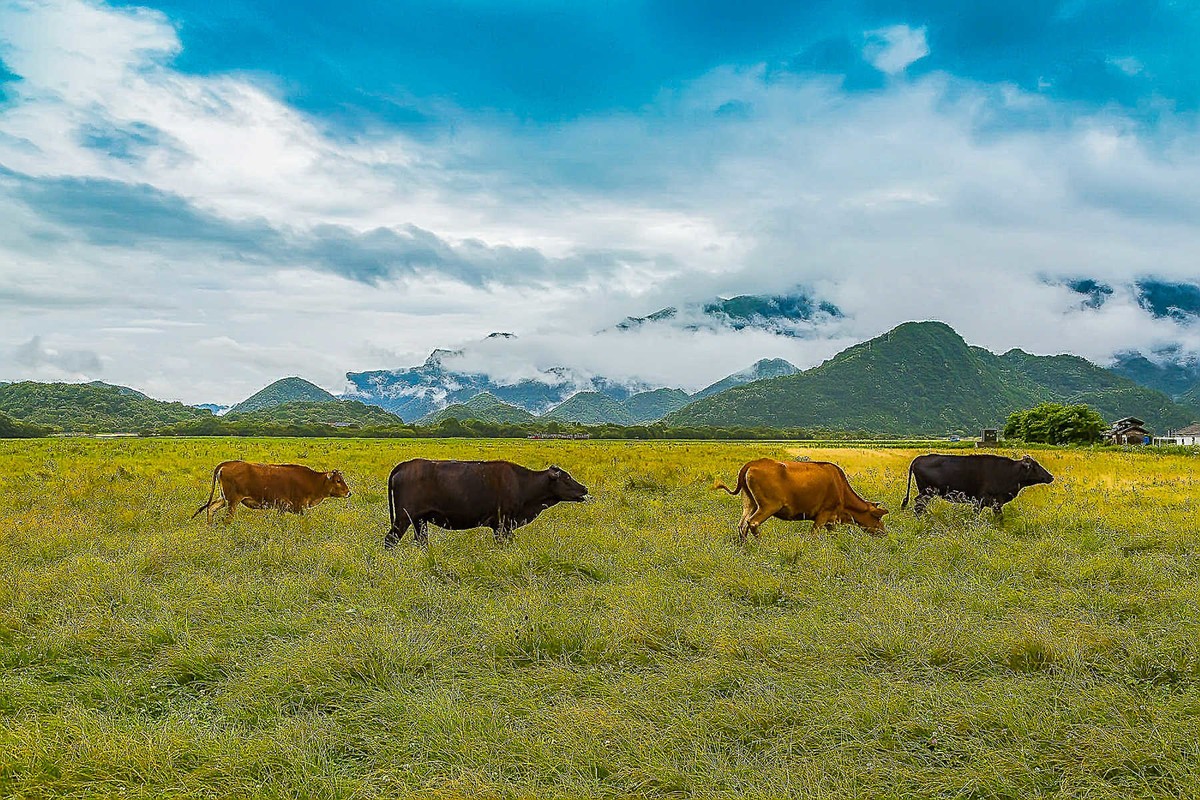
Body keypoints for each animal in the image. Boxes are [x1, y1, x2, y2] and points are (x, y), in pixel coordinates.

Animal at [190, 460, 350, 522]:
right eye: (338, 480)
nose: (349, 492)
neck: (312, 480)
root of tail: (226, 464)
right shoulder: (297, 506)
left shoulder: (282, 507)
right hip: (233, 500)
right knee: (227, 519)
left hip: (223, 498)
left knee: (211, 508)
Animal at [386, 460, 588, 546]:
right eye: (567, 478)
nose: (585, 489)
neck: (522, 482)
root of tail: (403, 466)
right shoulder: (503, 524)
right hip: (403, 517)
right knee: (390, 540)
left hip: (420, 520)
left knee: (421, 541)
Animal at [710, 460, 892, 542]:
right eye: (878, 518)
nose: (885, 532)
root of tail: (752, 463)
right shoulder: (823, 514)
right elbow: (814, 534)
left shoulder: (831, 519)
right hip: (768, 506)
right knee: (752, 523)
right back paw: (762, 543)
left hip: (749, 503)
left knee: (742, 525)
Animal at [902, 453, 1051, 515]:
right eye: (1035, 466)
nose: (1051, 476)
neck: (1010, 472)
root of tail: (919, 458)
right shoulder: (982, 501)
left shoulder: (996, 503)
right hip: (926, 492)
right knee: (919, 505)